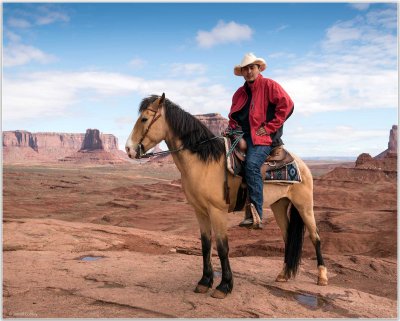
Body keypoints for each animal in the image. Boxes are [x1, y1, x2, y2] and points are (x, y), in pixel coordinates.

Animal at [125, 94, 328, 298]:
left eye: (144, 119)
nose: (128, 149)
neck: (204, 162)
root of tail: (301, 163)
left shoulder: (217, 211)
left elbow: (223, 248)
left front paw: (224, 286)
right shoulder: (200, 211)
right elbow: (206, 245)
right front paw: (204, 282)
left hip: (304, 205)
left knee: (315, 237)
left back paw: (322, 277)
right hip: (279, 204)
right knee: (288, 237)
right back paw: (284, 274)